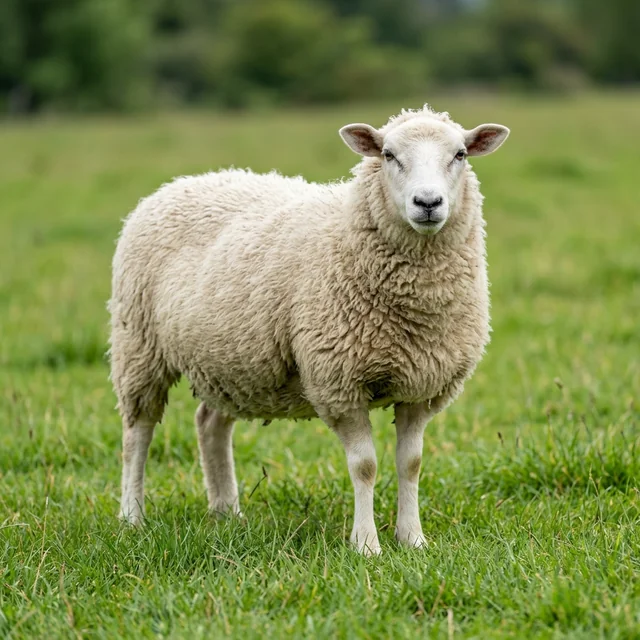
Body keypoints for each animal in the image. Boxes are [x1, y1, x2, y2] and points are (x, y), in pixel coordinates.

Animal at [110, 104, 509, 555]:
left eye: (460, 154)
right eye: (388, 155)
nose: (427, 202)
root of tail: (184, 181)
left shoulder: (421, 387)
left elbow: (411, 464)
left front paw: (412, 539)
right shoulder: (339, 381)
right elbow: (365, 466)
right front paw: (366, 545)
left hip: (228, 358)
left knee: (210, 424)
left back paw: (227, 512)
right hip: (138, 344)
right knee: (137, 433)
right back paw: (132, 516)